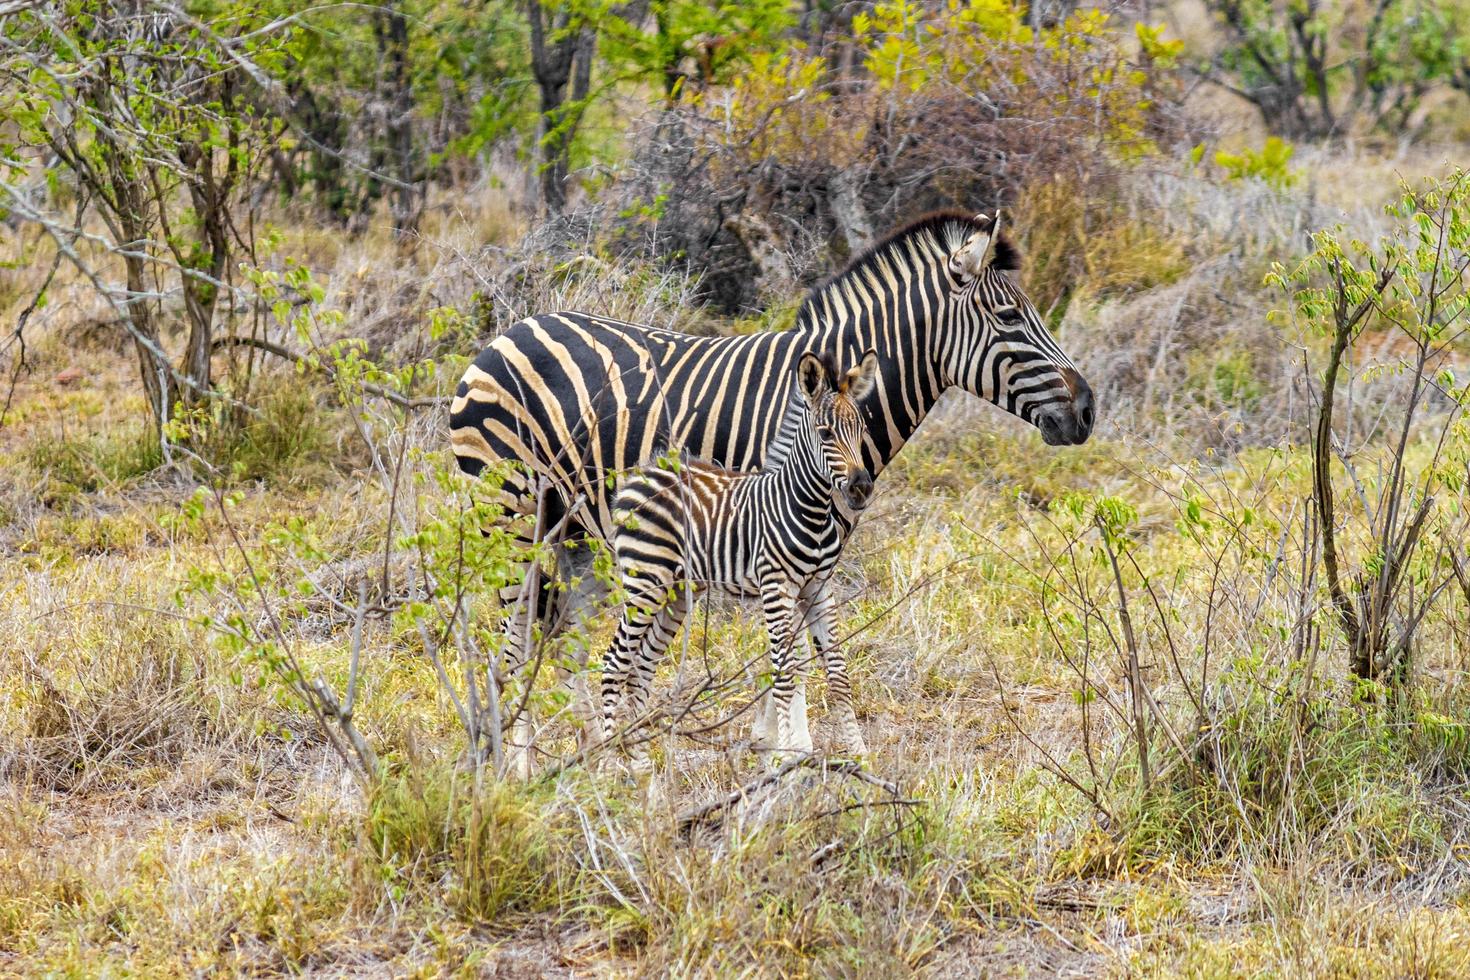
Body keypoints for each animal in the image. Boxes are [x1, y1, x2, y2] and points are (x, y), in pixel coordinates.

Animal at [599, 348, 876, 769]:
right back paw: (602, 764)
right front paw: (788, 759)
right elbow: (785, 675)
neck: (808, 509)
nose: (862, 488)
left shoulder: (818, 588)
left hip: (676, 591)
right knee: (615, 664)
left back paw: (642, 765)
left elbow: (838, 674)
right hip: (645, 581)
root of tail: (642, 474)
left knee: (640, 669)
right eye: (826, 433)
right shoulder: (775, 587)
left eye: (861, 429)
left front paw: (859, 755)